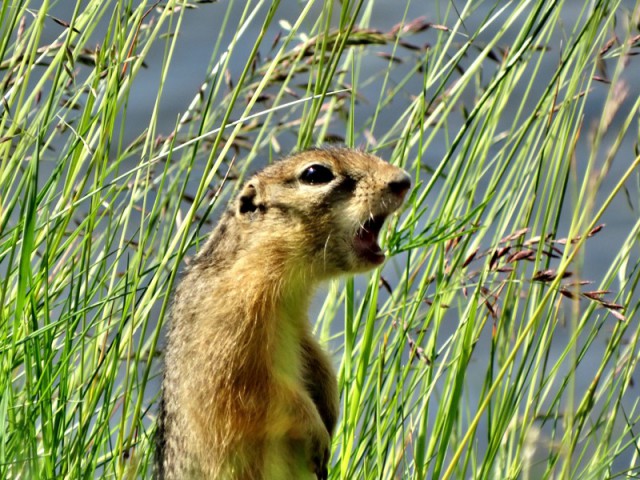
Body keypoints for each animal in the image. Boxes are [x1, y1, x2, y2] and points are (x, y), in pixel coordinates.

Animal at [155, 147, 410, 480]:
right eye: (315, 174)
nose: (403, 180)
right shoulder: (230, 333)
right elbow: (259, 394)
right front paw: (318, 434)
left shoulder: (299, 325)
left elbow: (317, 359)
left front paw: (331, 412)